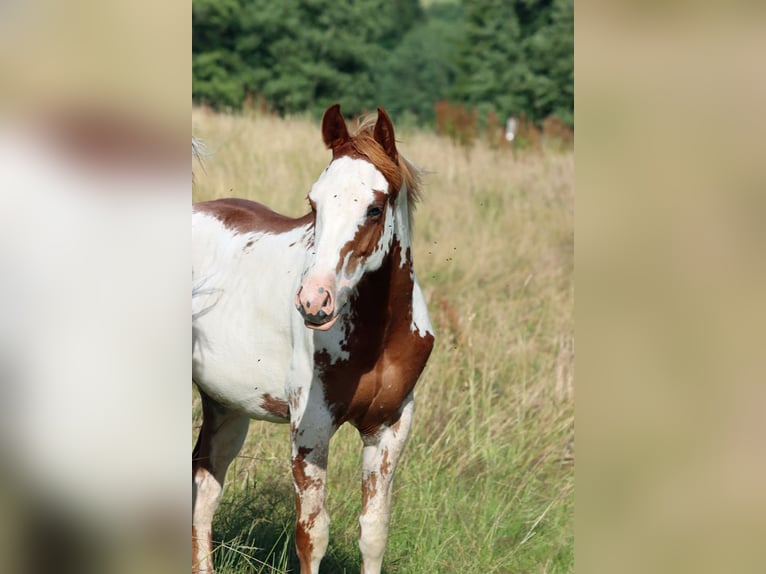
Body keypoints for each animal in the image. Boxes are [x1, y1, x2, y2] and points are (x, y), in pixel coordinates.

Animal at [191, 104, 435, 574]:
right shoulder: (311, 426)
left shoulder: (389, 428)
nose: (313, 300)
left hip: (225, 405)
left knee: (204, 488)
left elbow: (373, 533)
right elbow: (312, 535)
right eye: (313, 202)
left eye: (375, 208)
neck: (375, 335)